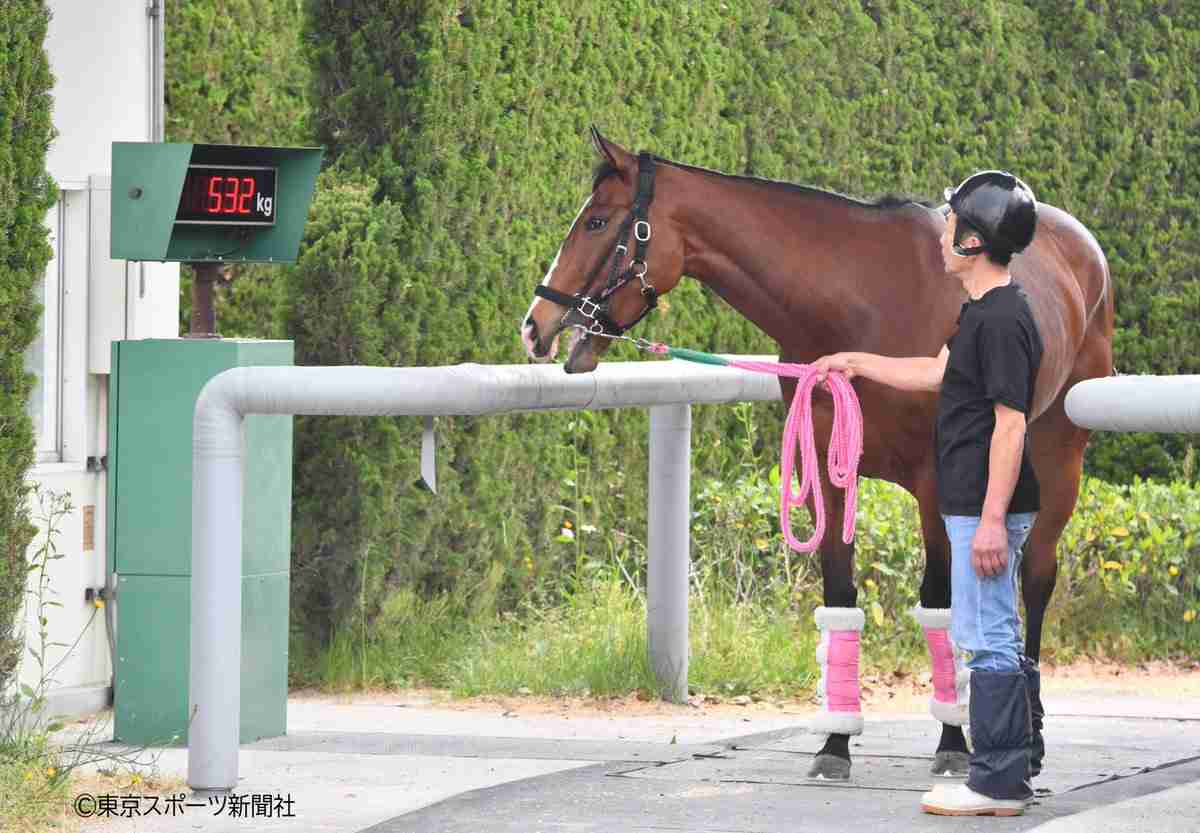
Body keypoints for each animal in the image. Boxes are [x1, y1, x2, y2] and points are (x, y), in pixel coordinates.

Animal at [520, 127, 1114, 780]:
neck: (860, 298)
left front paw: (952, 742)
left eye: (598, 221)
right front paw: (835, 743)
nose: (535, 326)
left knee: (1035, 577)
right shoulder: (828, 472)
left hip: (1059, 456)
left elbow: (939, 599)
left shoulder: (936, 480)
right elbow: (840, 595)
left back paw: (1028, 729)